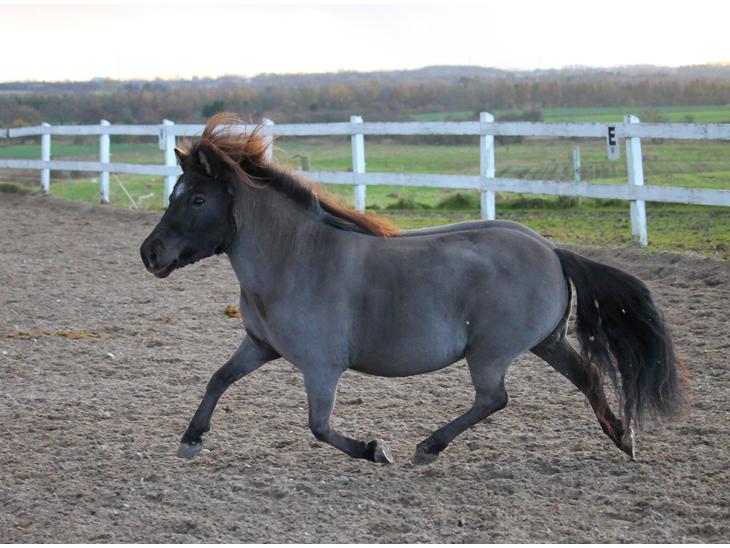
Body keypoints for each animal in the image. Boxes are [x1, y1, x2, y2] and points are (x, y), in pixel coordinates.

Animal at [140, 113, 686, 465]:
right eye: (174, 194)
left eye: (197, 199)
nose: (150, 254)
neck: (295, 258)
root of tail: (552, 251)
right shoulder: (259, 345)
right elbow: (218, 379)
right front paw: (191, 438)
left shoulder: (321, 367)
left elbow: (319, 426)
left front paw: (374, 450)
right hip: (549, 343)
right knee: (587, 377)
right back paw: (623, 439)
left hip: (490, 353)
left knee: (494, 399)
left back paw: (428, 448)